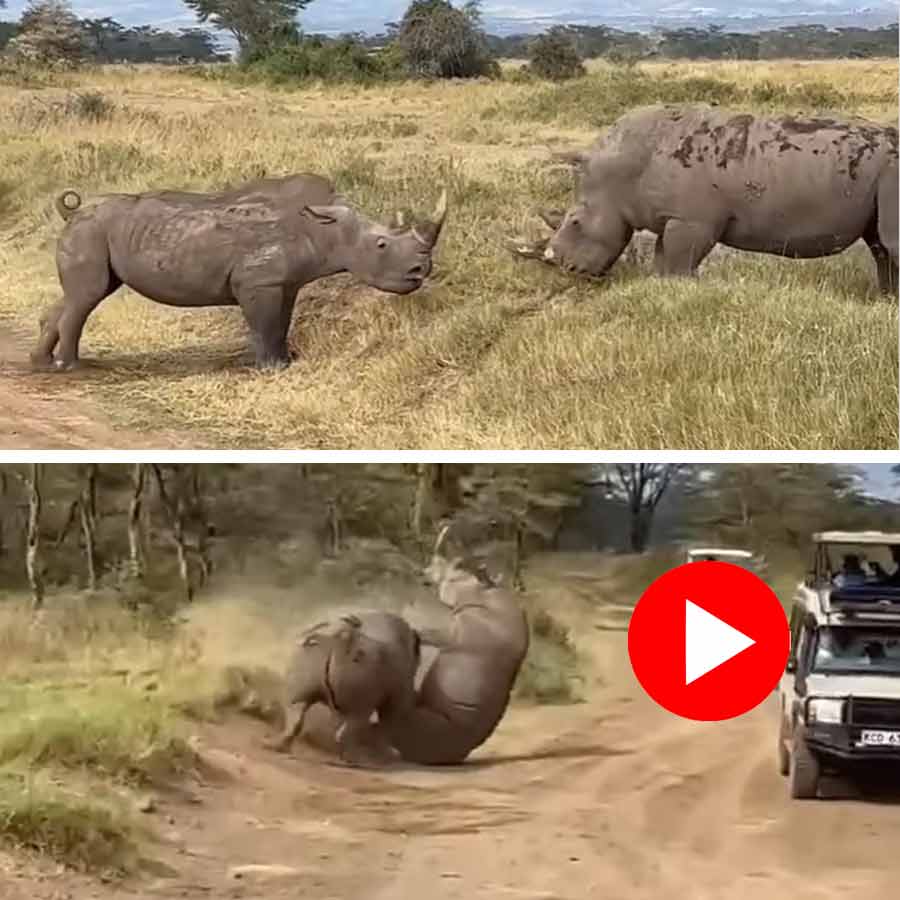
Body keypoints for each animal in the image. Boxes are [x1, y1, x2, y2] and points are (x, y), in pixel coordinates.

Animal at [32, 173, 448, 371]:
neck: (326, 227)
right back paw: (71, 366)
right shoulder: (257, 281)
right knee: (87, 297)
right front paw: (269, 368)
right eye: (381, 245)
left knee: (84, 293)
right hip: (90, 232)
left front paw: (284, 363)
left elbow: (281, 323)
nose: (421, 270)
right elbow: (263, 325)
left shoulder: (283, 283)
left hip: (95, 233)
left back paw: (42, 363)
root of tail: (73, 212)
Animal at [270, 611, 421, 765]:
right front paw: (391, 755)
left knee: (297, 705)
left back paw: (277, 747)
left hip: (309, 655)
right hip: (361, 671)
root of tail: (338, 637)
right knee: (359, 715)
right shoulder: (399, 692)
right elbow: (389, 720)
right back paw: (356, 760)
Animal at [379, 526, 530, 765]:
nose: (421, 574)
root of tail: (457, 756)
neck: (483, 591)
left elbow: (432, 632)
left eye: (456, 568)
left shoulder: (457, 632)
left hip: (439, 730)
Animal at [514, 104, 898, 293]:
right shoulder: (673, 217)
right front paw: (664, 292)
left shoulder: (693, 220)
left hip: (893, 168)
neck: (621, 173)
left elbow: (680, 262)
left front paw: (683, 292)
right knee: (880, 245)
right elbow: (663, 261)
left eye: (576, 222)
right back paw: (885, 302)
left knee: (889, 244)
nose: (569, 272)